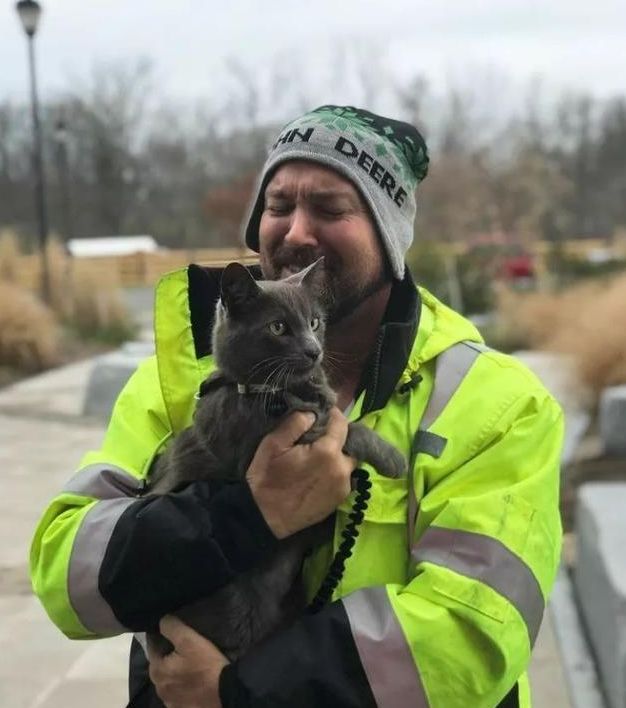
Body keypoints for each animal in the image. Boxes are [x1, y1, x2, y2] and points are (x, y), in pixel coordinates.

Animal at [145, 262, 404, 660]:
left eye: (314, 322)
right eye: (278, 327)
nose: (313, 350)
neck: (278, 392)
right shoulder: (270, 443)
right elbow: (348, 428)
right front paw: (393, 458)